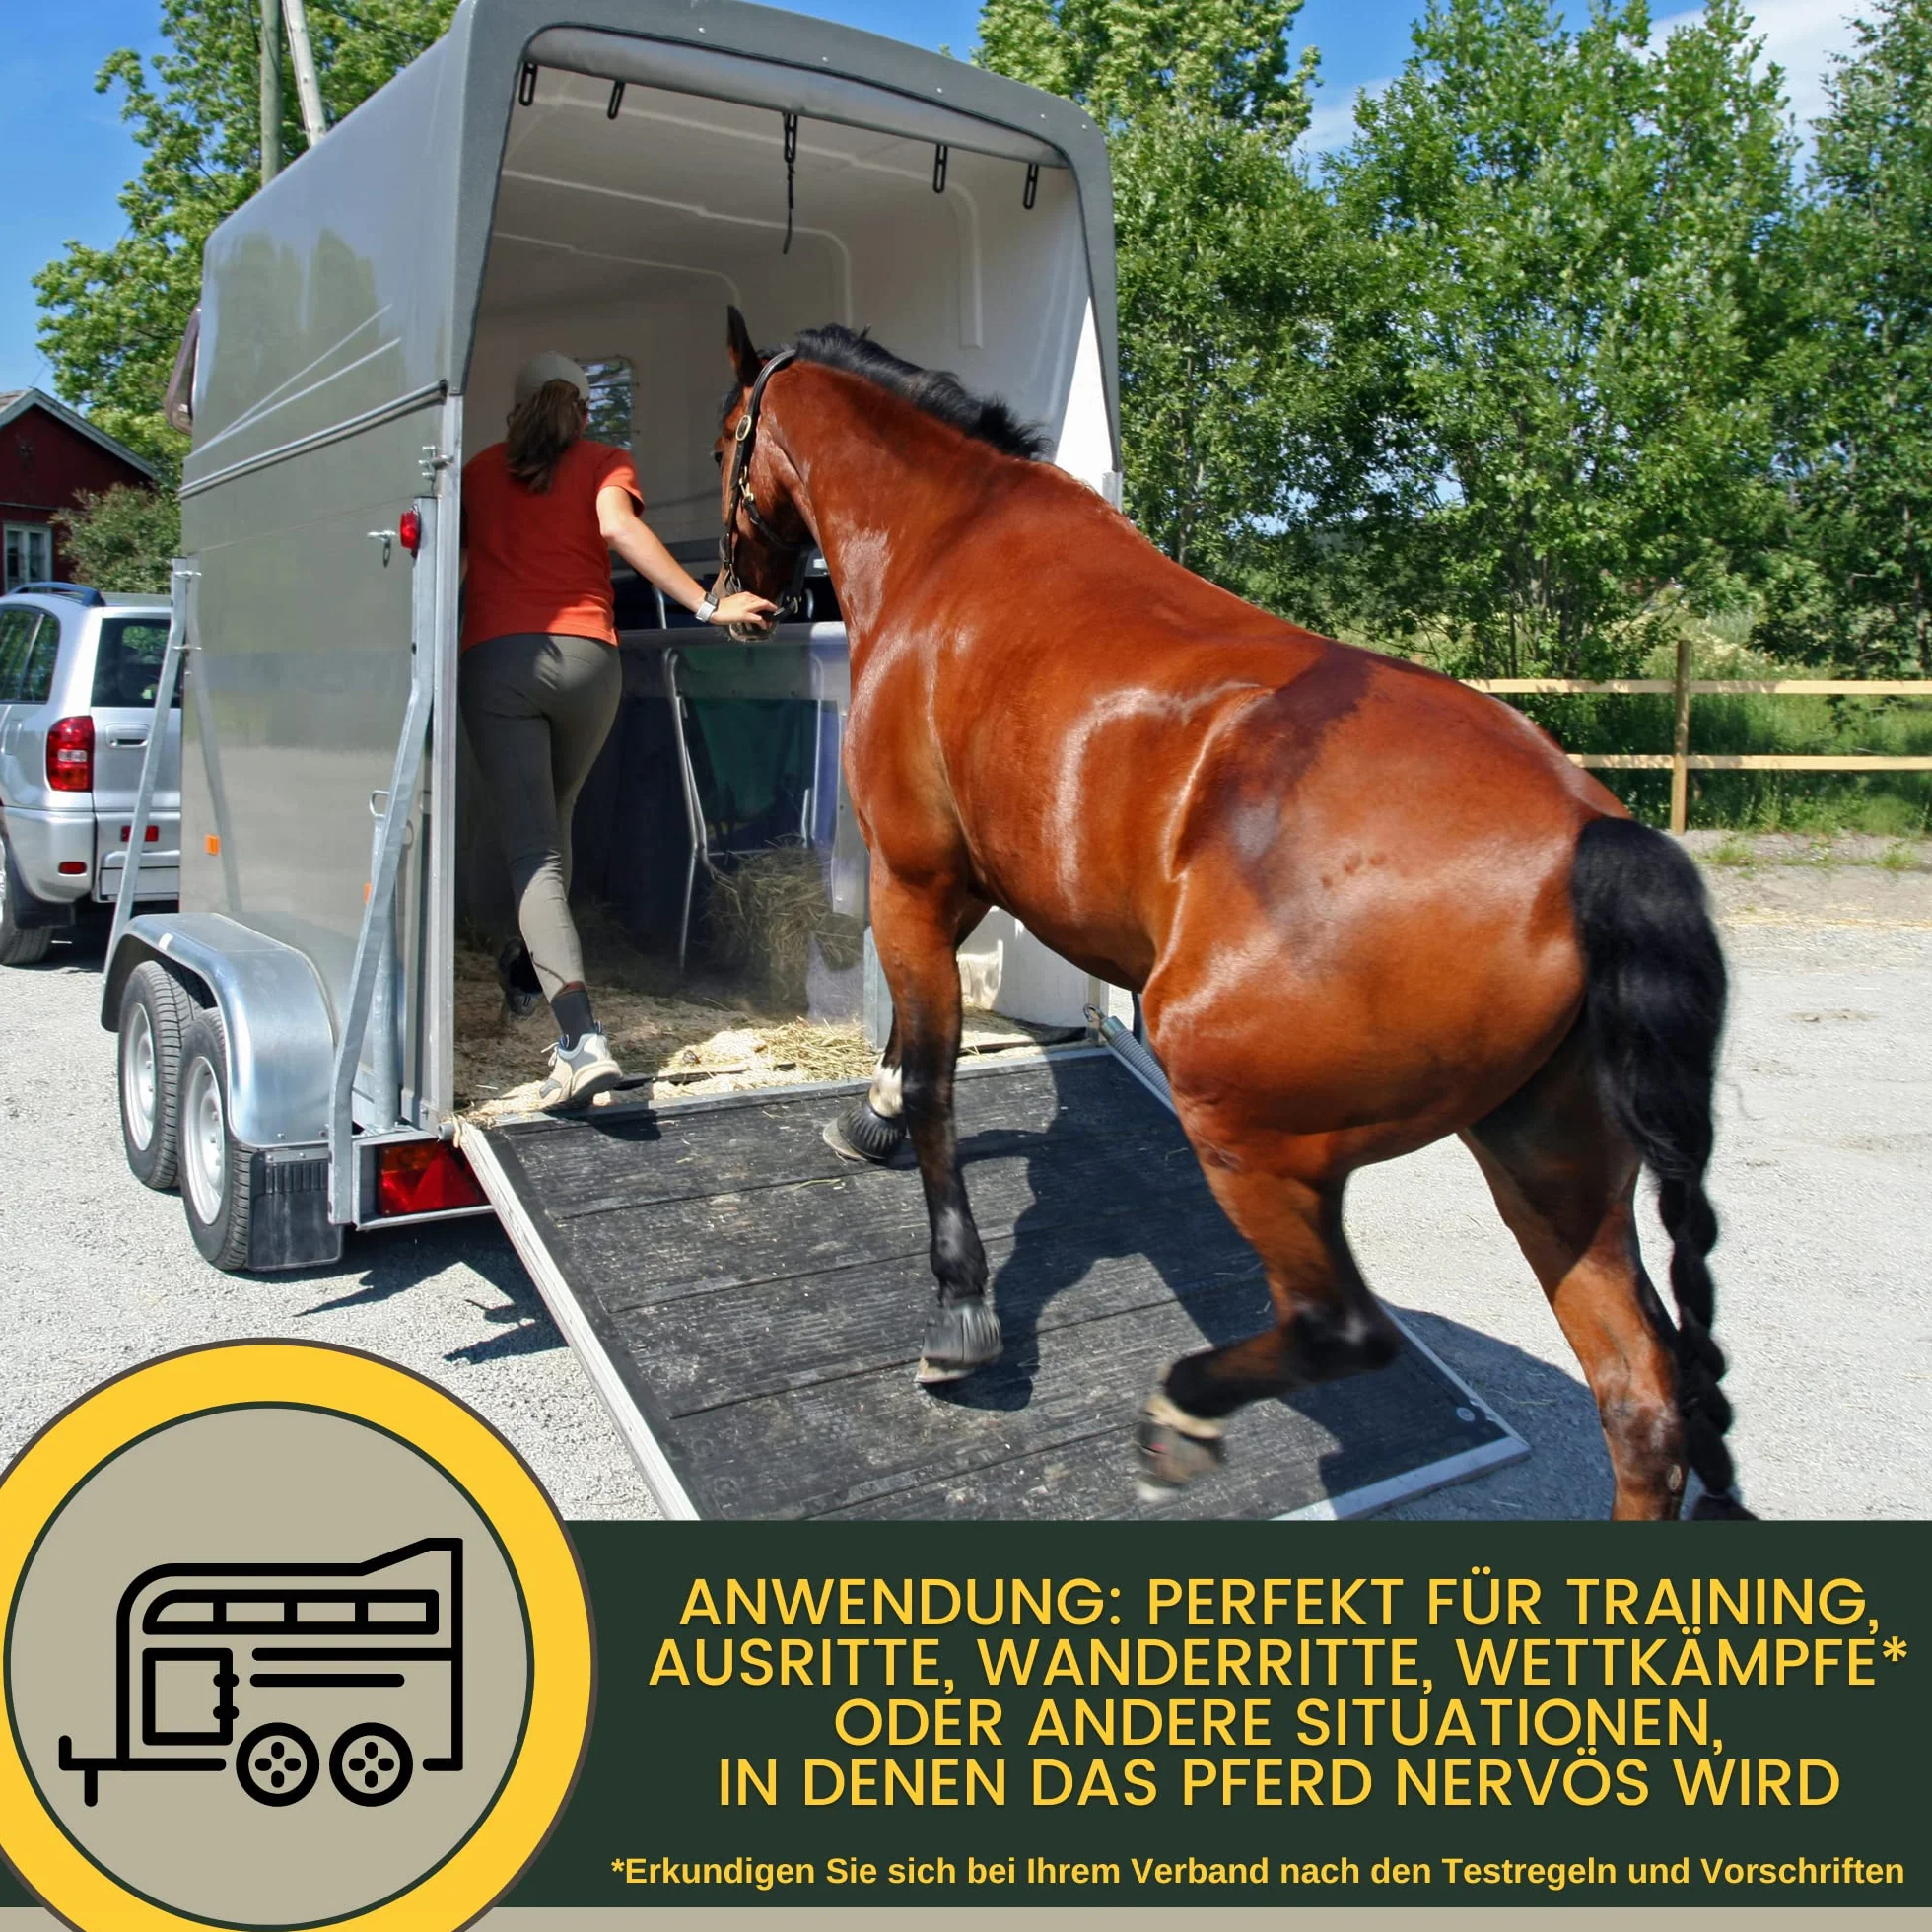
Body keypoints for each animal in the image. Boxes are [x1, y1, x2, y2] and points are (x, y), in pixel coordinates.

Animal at [712, 306, 1751, 1521]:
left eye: (727, 436)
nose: (734, 596)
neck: (951, 543)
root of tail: (1594, 837)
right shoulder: (961, 884)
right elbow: (909, 1060)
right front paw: (868, 1118)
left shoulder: (913, 878)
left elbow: (932, 1077)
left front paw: (961, 1304)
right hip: (1553, 1170)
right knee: (1643, 1404)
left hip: (1250, 1128)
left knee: (1343, 1328)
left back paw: (1183, 1410)